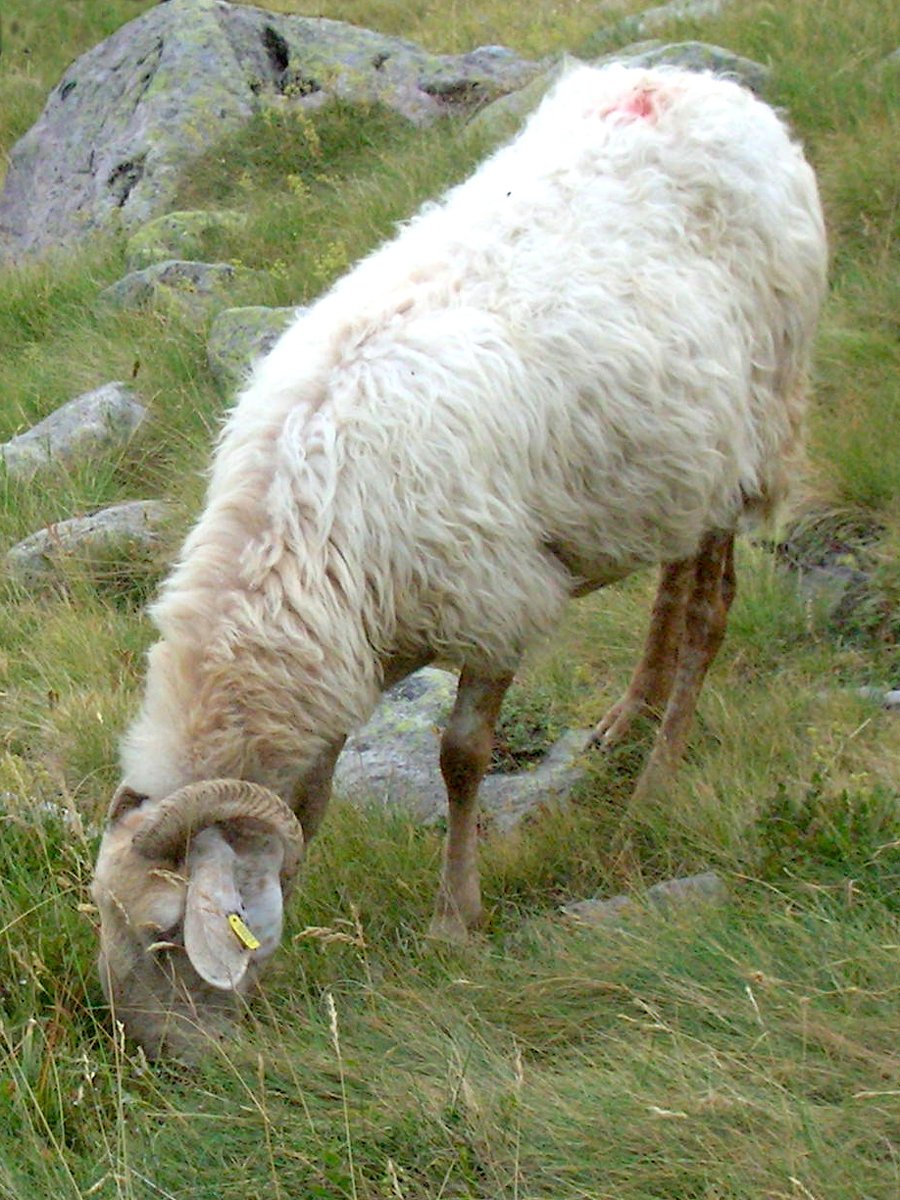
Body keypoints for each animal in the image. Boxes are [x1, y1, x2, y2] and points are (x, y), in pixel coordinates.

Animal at [90, 61, 827, 1058]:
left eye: (168, 934)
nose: (158, 1059)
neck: (303, 535)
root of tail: (697, 83)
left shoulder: (491, 600)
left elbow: (461, 758)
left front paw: (455, 920)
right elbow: (313, 801)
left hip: (757, 422)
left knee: (711, 606)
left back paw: (654, 787)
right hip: (680, 457)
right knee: (674, 583)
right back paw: (627, 717)